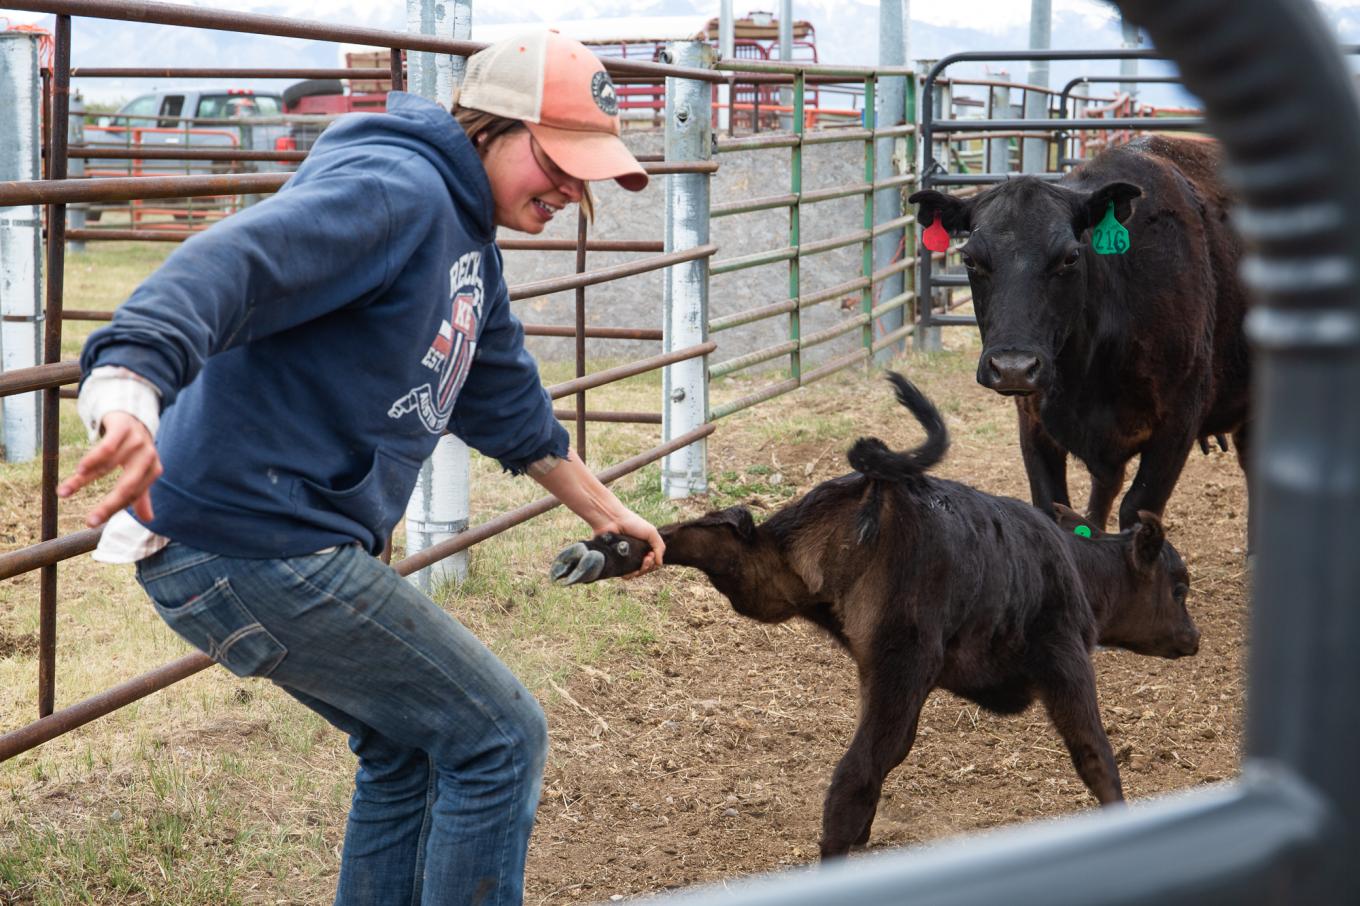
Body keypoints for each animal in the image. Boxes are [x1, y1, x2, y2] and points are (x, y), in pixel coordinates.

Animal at [908, 133, 1245, 530]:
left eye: (1070, 257)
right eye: (970, 259)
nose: (1013, 368)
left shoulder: (1179, 418)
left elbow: (1138, 508)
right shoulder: (1033, 419)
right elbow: (1052, 505)